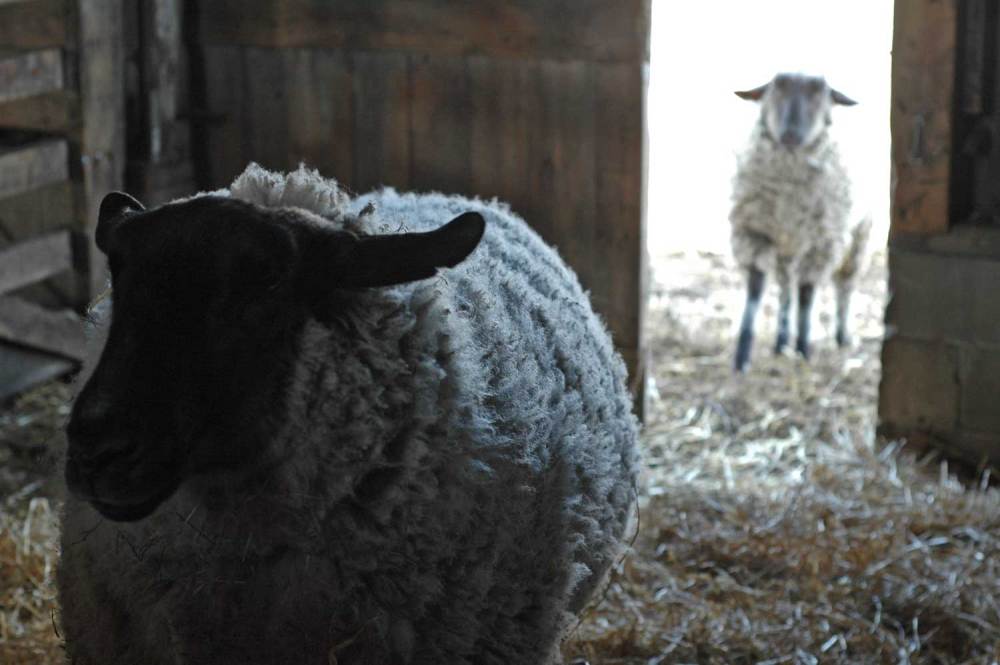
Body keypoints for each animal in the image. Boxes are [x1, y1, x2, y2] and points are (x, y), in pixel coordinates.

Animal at [729, 72, 871, 372]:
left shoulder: (823, 242)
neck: (788, 193)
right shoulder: (755, 232)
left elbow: (806, 294)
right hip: (788, 246)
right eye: (776, 91)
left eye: (821, 95)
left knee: (844, 283)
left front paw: (804, 348)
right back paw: (781, 342)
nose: (791, 135)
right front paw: (742, 355)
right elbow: (756, 289)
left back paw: (841, 335)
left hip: (861, 232)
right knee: (785, 288)